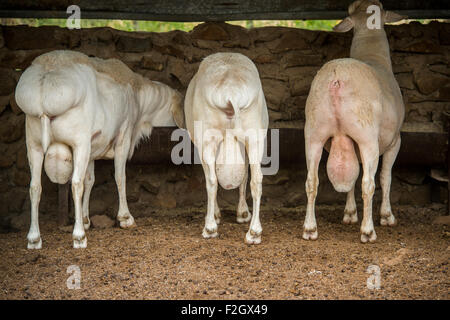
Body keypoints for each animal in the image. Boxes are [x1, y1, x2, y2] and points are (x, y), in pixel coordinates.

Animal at [14, 50, 183, 250]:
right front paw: (125, 218)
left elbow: (90, 180)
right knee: (75, 184)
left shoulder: (92, 149)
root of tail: (45, 85)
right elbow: (119, 177)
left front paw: (85, 218)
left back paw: (34, 238)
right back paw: (79, 237)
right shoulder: (123, 137)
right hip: (78, 142)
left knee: (35, 187)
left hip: (34, 143)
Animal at [185, 52, 268, 244]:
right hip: (254, 136)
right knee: (256, 179)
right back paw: (254, 232)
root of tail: (231, 91)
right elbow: (245, 176)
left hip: (207, 138)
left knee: (212, 180)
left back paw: (210, 228)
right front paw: (243, 213)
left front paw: (216, 216)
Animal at [304, 0, 406, 242]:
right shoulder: (394, 141)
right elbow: (386, 177)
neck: (373, 54)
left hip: (313, 134)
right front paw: (387, 216)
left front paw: (350, 213)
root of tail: (336, 78)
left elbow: (351, 176)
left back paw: (310, 229)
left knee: (312, 181)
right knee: (368, 183)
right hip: (367, 137)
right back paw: (368, 231)